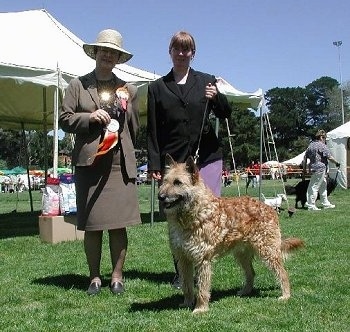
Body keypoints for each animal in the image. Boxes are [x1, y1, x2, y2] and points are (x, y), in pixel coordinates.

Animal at [159, 154, 304, 312]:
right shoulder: (183, 259)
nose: (160, 196)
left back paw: (285, 295)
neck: (191, 214)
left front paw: (201, 308)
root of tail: (270, 208)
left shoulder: (203, 260)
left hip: (268, 251)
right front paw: (187, 303)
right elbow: (187, 285)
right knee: (251, 273)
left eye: (177, 182)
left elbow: (202, 288)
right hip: (242, 254)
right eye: (165, 181)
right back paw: (245, 291)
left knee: (283, 273)